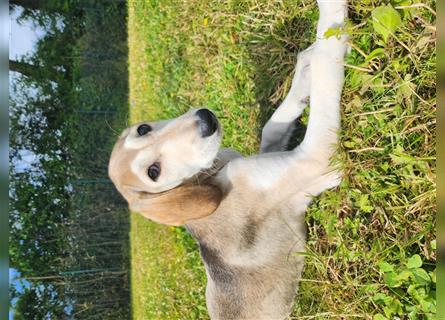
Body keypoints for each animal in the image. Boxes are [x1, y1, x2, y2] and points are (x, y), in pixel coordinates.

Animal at [107, 1, 346, 318]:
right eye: (153, 172)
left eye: (143, 128)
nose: (206, 119)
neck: (211, 175)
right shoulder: (313, 159)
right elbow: (326, 66)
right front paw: (332, 19)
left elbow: (274, 124)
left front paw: (303, 71)